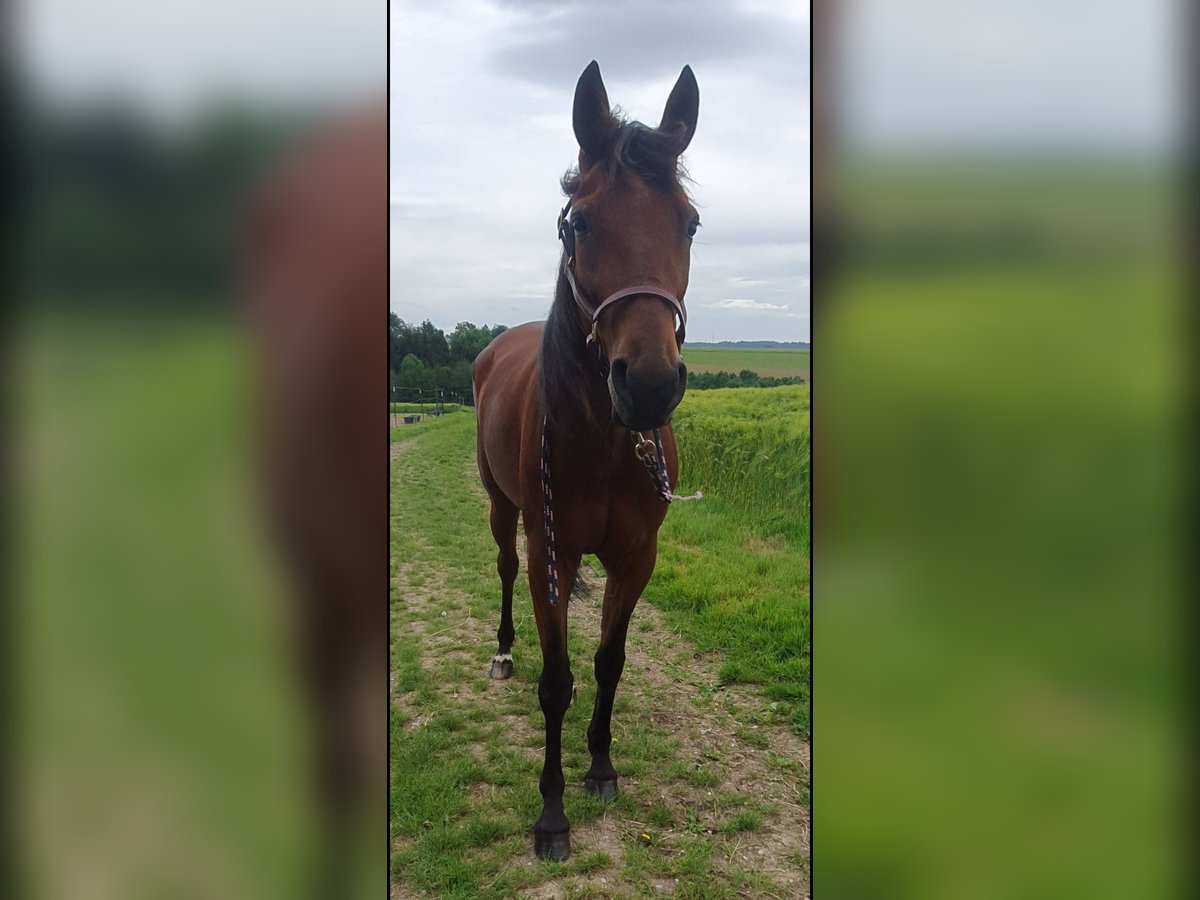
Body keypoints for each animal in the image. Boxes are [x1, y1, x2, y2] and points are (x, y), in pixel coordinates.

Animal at [465, 60, 696, 864]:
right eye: (581, 223)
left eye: (688, 223)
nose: (649, 384)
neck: (601, 438)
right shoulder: (552, 556)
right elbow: (556, 679)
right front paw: (552, 812)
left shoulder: (636, 556)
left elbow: (607, 662)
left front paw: (600, 766)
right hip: (504, 511)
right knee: (505, 570)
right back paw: (503, 652)